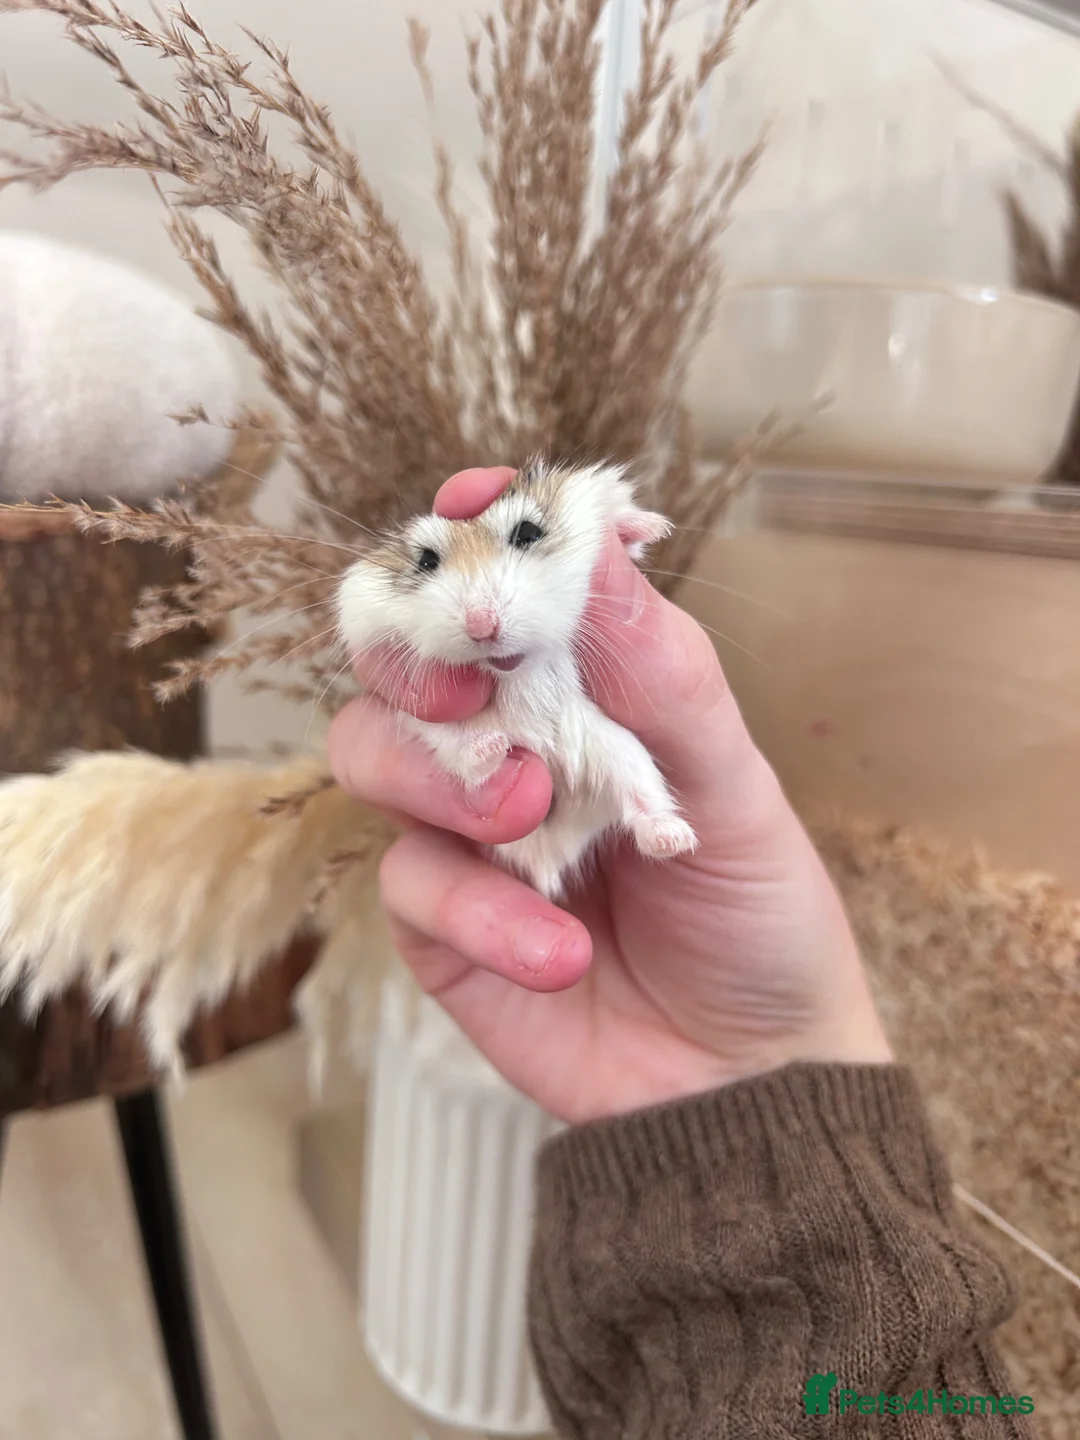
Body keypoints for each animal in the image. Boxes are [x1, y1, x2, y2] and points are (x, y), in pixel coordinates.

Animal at [334, 458, 698, 901]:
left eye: (528, 533)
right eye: (426, 561)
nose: (481, 626)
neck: (518, 670)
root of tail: (548, 856)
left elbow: (620, 520)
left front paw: (653, 527)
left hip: (617, 748)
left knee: (643, 796)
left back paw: (671, 840)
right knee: (467, 760)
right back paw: (493, 745)